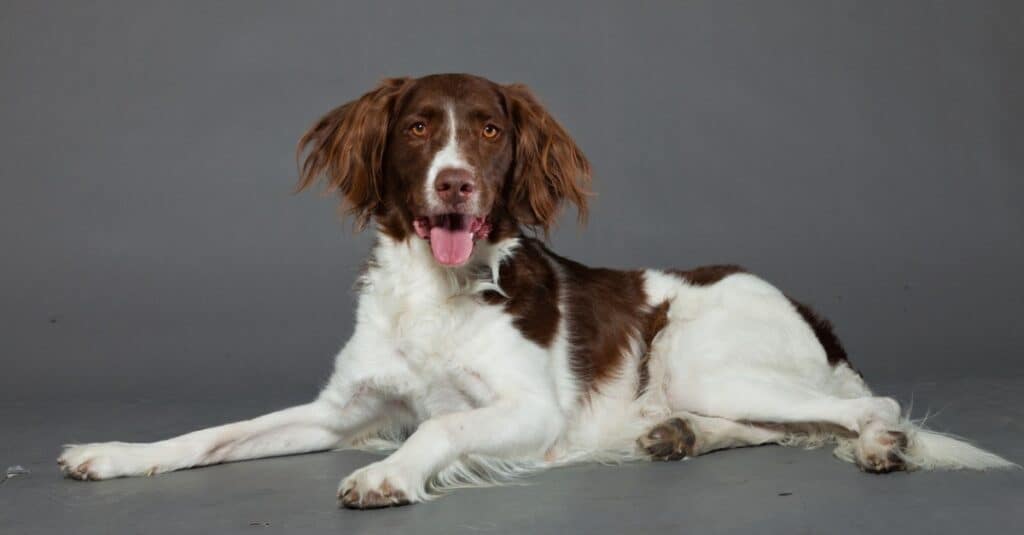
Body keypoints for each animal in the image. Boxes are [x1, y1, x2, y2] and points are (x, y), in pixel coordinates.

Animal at [58, 72, 1015, 506]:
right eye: (416, 128)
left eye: (488, 129)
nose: (455, 185)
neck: (438, 291)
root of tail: (807, 306)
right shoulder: (340, 410)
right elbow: (213, 433)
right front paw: (116, 453)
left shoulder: (532, 409)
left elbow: (439, 422)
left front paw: (388, 473)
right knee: (777, 423)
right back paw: (676, 435)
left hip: (709, 356)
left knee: (867, 404)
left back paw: (883, 446)